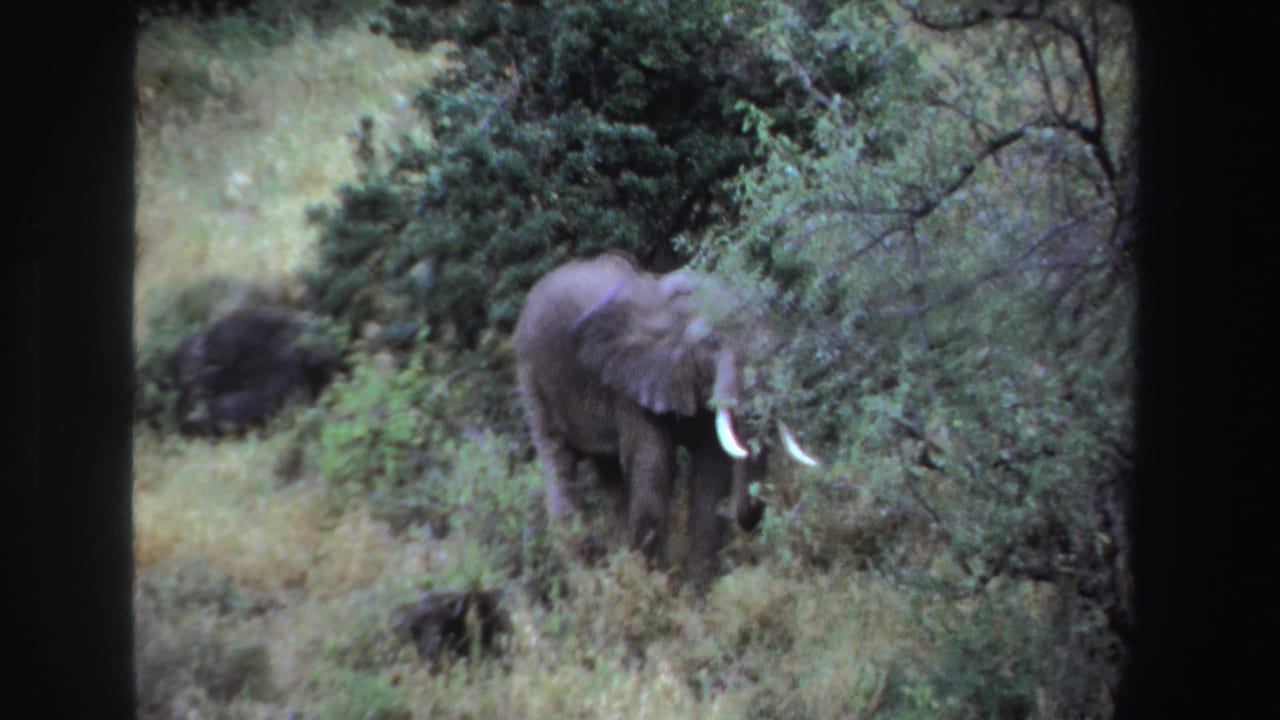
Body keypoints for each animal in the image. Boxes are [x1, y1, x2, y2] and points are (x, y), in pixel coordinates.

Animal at [514, 251, 818, 587]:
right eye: (712, 342)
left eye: (778, 345)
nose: (737, 515)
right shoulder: (631, 383)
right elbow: (654, 468)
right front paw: (651, 586)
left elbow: (711, 473)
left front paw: (697, 595)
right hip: (531, 373)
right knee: (558, 463)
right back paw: (586, 583)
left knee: (611, 475)